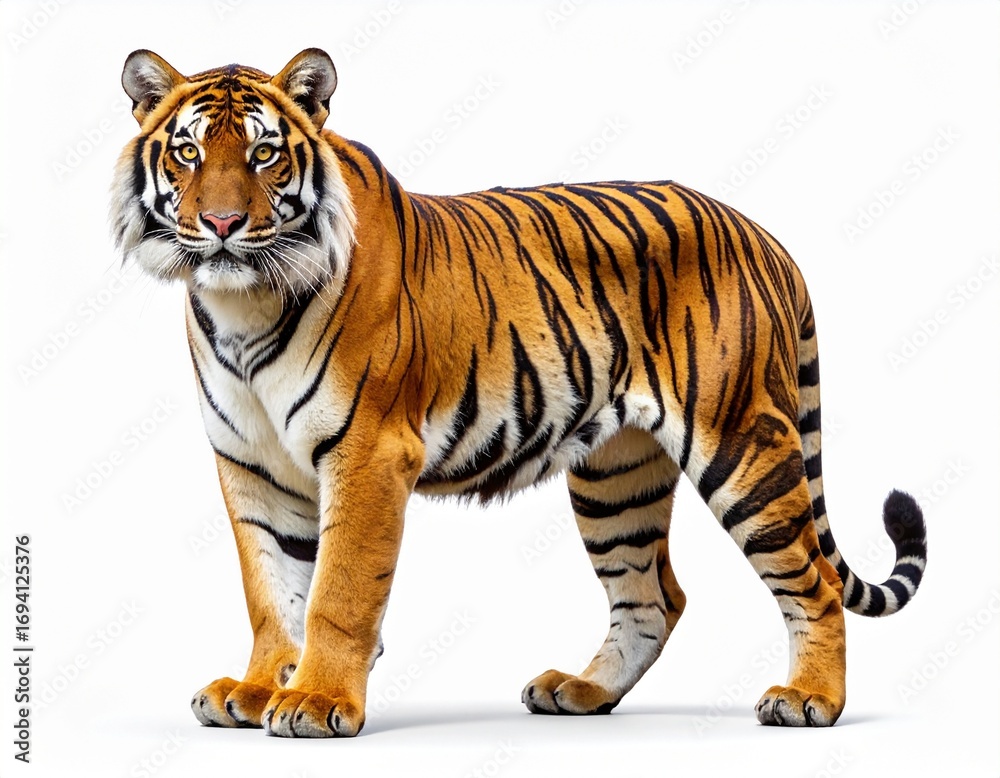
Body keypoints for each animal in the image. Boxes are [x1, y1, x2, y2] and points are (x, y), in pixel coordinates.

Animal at [110, 48, 927, 738]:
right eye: (188, 152)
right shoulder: (251, 464)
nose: (220, 223)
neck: (242, 306)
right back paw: (582, 692)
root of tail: (764, 235)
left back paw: (810, 699)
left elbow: (337, 591)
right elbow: (271, 588)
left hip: (742, 441)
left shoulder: (367, 452)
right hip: (616, 476)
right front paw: (255, 690)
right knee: (654, 597)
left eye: (264, 153)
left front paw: (314, 700)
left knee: (813, 581)